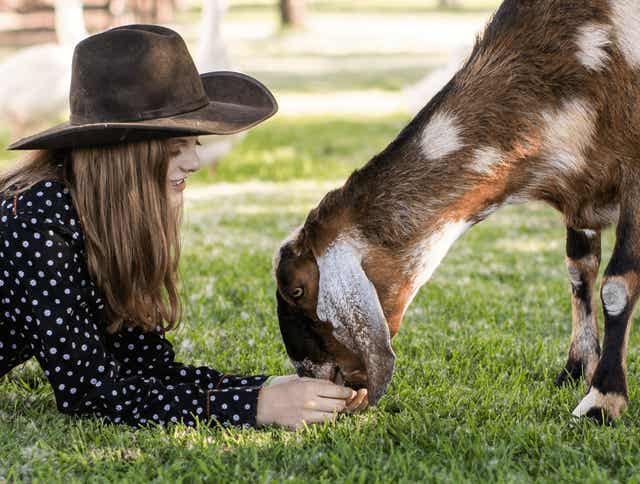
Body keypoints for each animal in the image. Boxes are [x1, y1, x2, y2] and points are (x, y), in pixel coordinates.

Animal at [272, 0, 640, 422]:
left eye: (297, 289)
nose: (308, 372)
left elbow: (616, 286)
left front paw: (603, 400)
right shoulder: (580, 193)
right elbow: (579, 273)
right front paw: (576, 369)